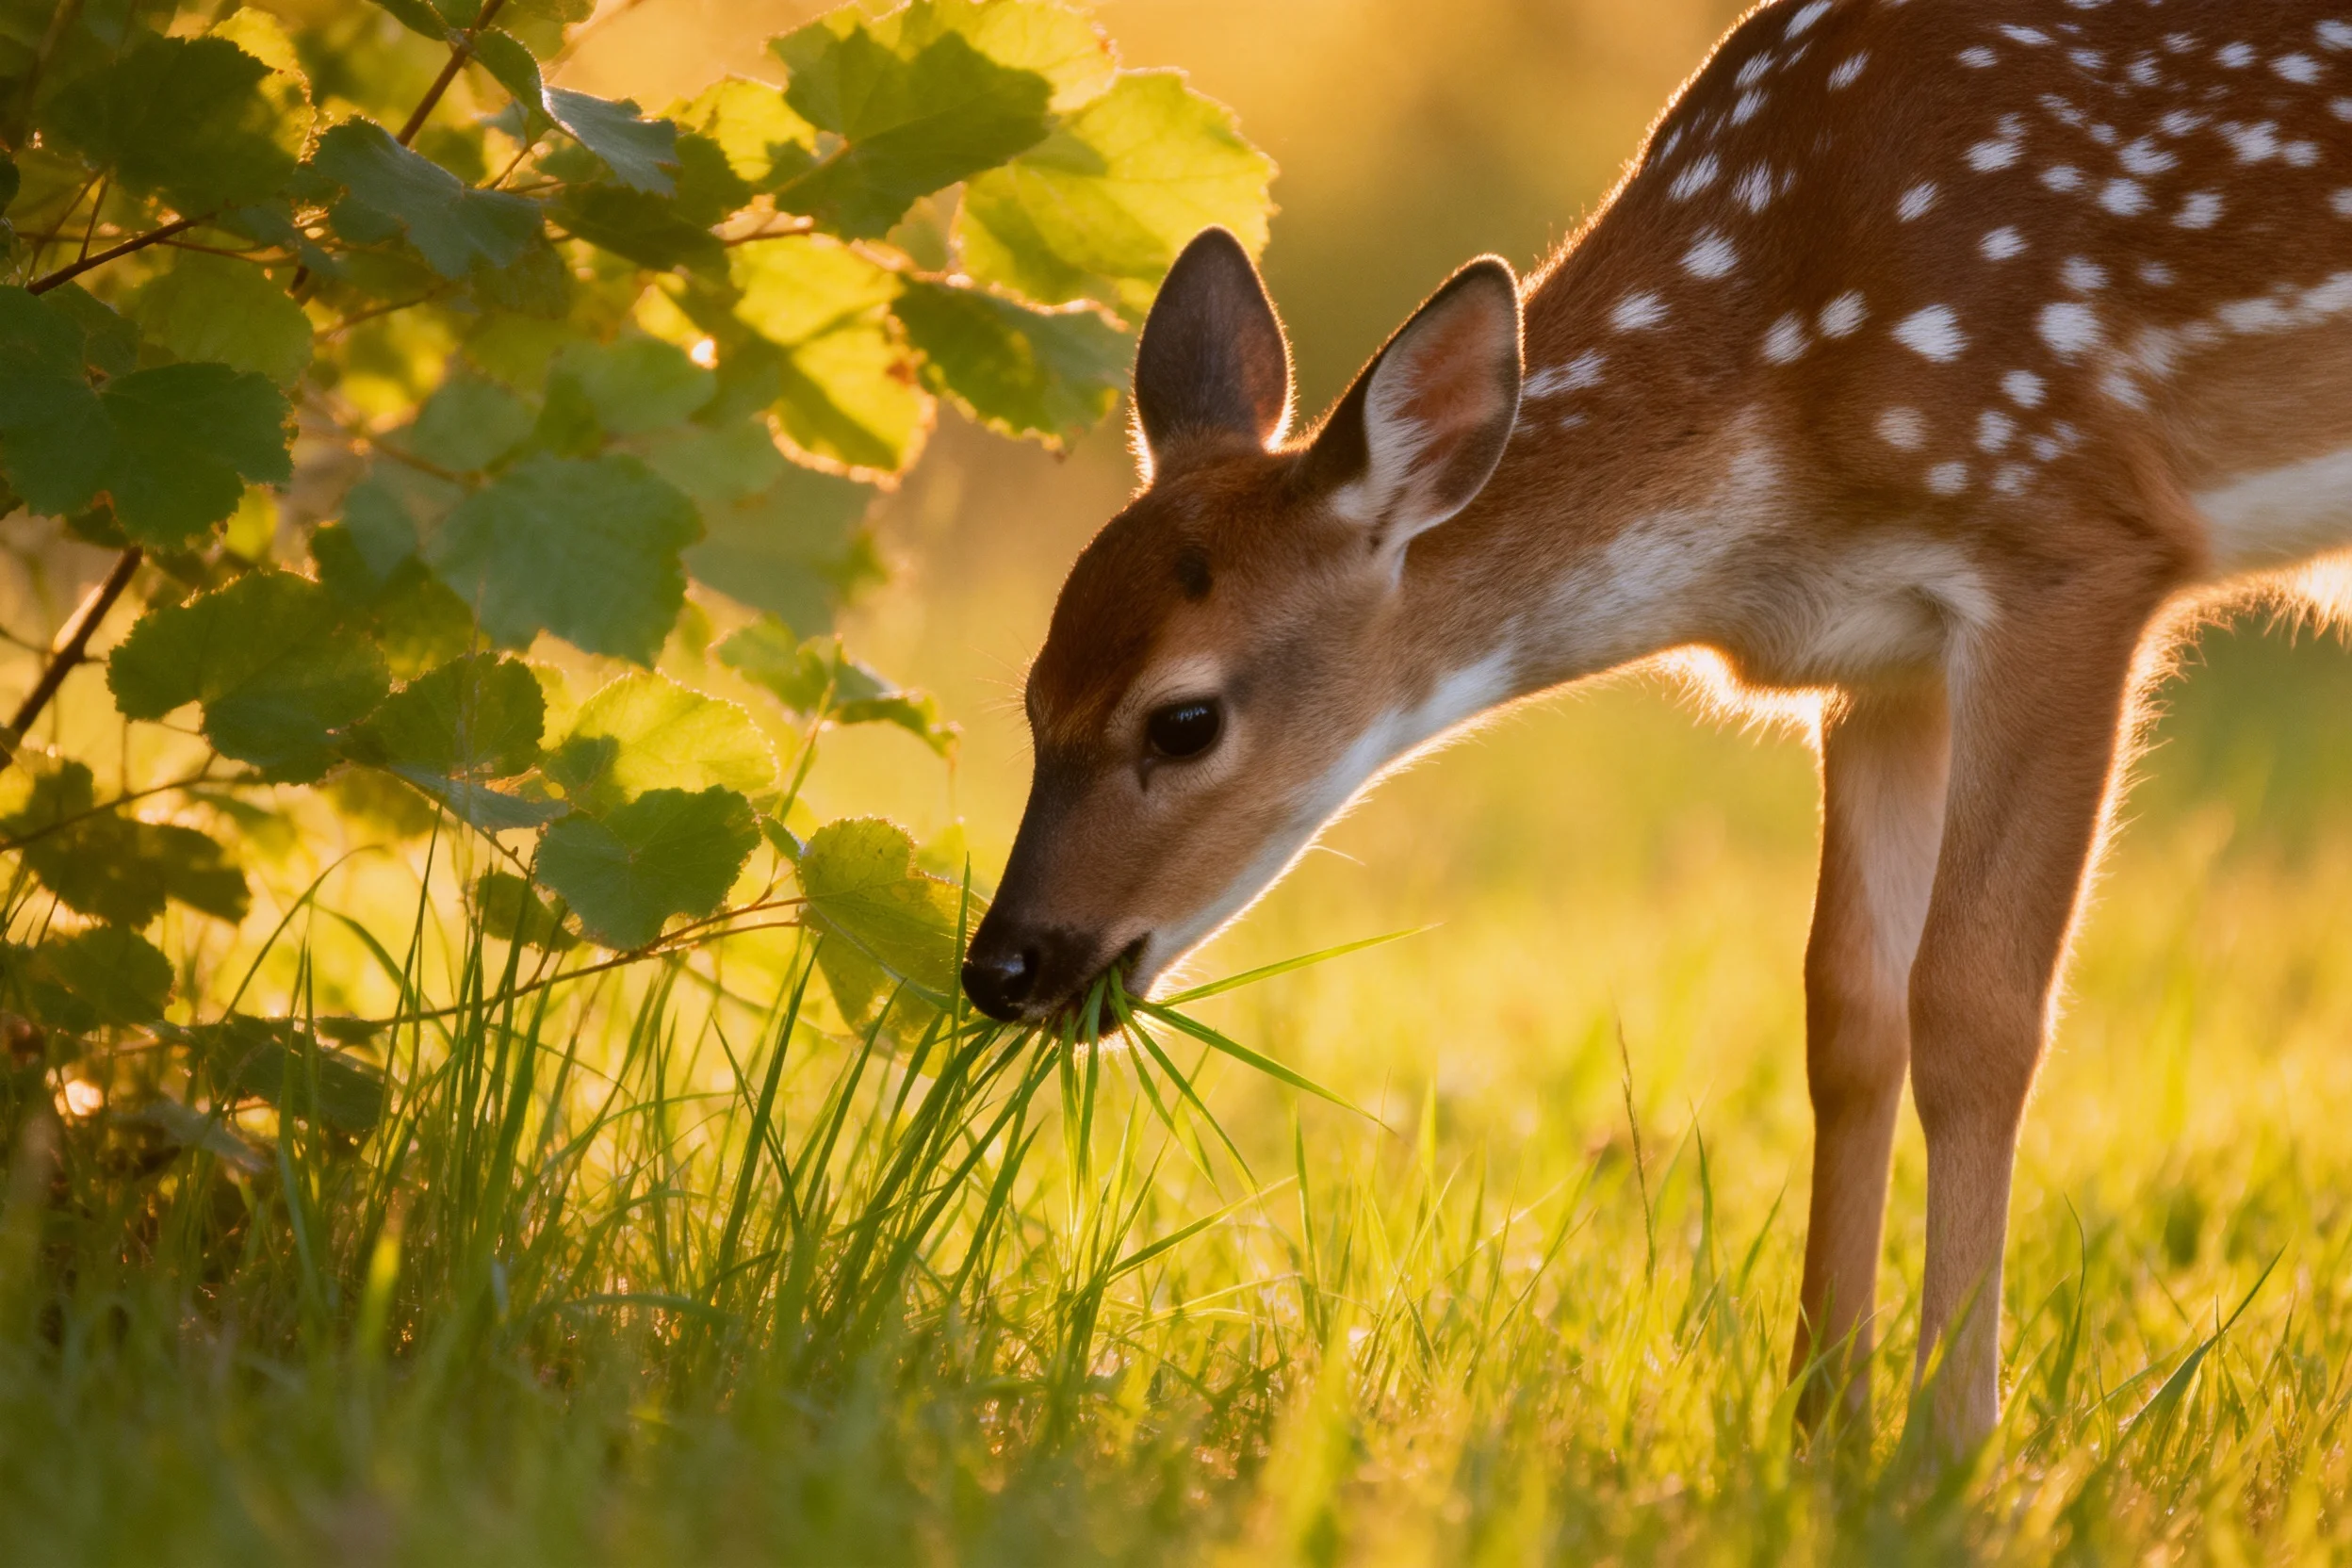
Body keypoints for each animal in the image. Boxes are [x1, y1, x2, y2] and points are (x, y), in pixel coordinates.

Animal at [959, 0, 2352, 1454]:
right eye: (1032, 696)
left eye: (1182, 720)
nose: (1003, 965)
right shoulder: (1887, 653)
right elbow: (1850, 1010)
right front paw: (1819, 1430)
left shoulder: (2070, 541)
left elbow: (1976, 1010)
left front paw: (1948, 1447)